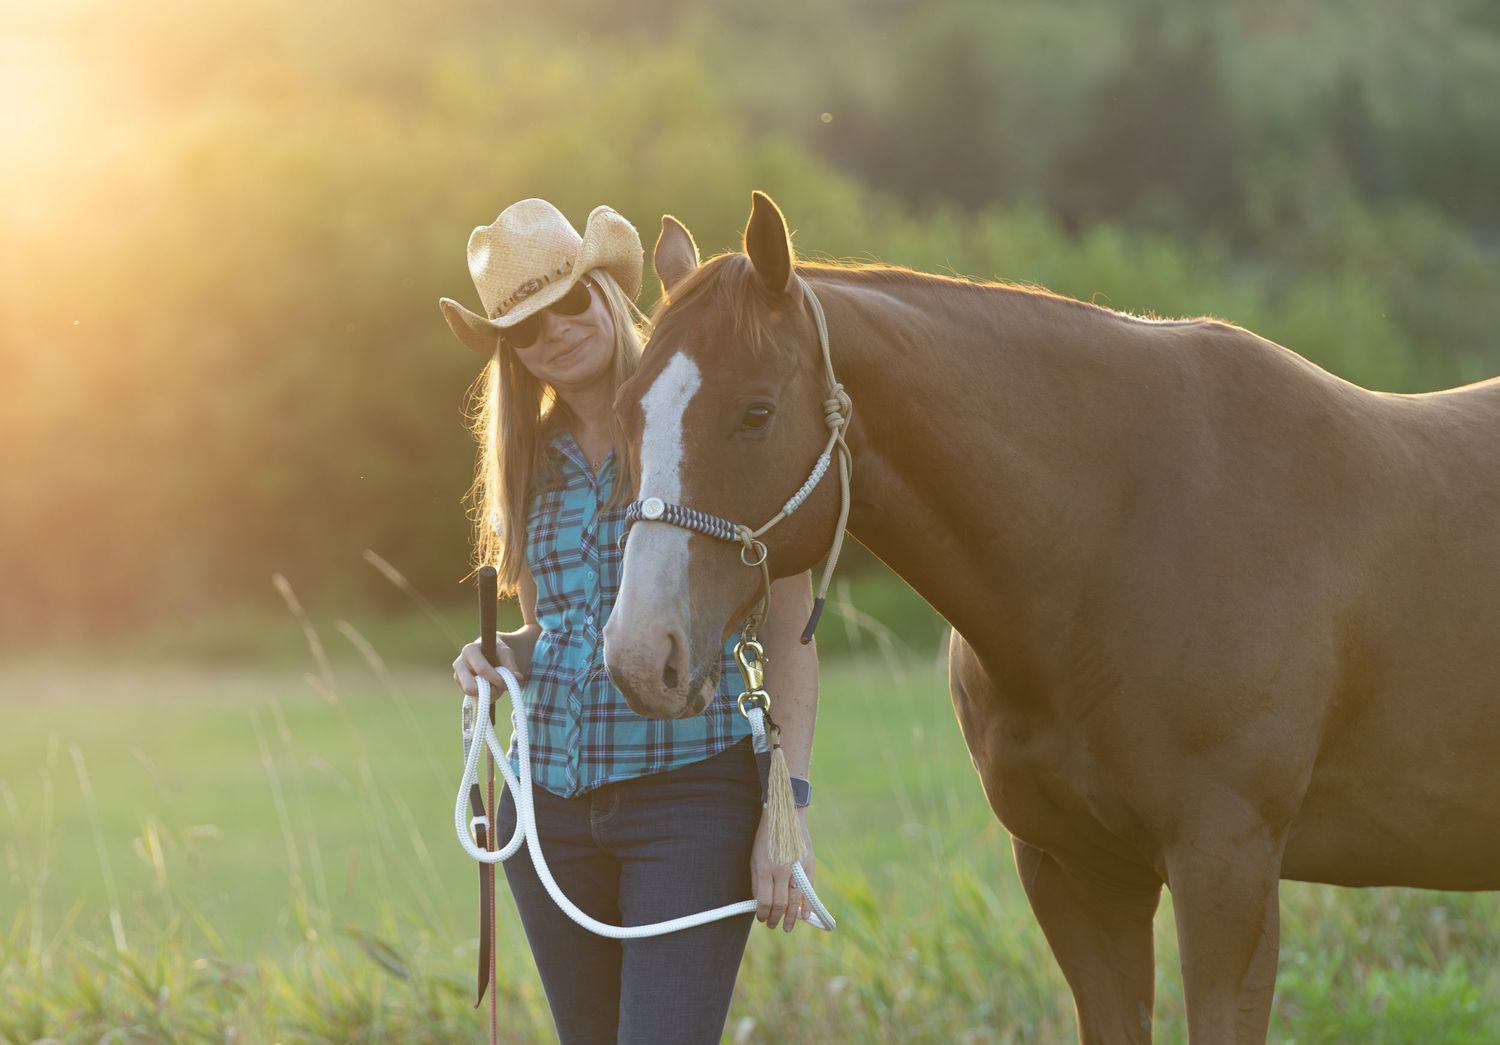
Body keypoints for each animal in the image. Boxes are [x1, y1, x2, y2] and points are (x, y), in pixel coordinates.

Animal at [600, 191, 1500, 1043]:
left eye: (755, 412)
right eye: (629, 406)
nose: (641, 653)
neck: (1118, 542)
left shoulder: (1228, 869)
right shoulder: (1076, 873)